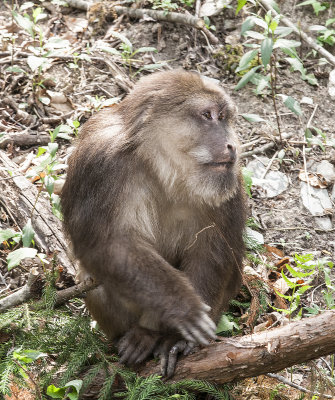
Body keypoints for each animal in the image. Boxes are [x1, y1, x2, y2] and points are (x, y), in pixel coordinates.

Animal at [61, 69, 248, 378]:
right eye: (207, 115)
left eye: (223, 117)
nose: (231, 144)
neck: (159, 166)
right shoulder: (100, 163)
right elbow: (106, 245)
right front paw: (182, 306)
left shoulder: (228, 180)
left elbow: (212, 252)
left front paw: (178, 339)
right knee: (94, 282)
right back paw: (140, 335)